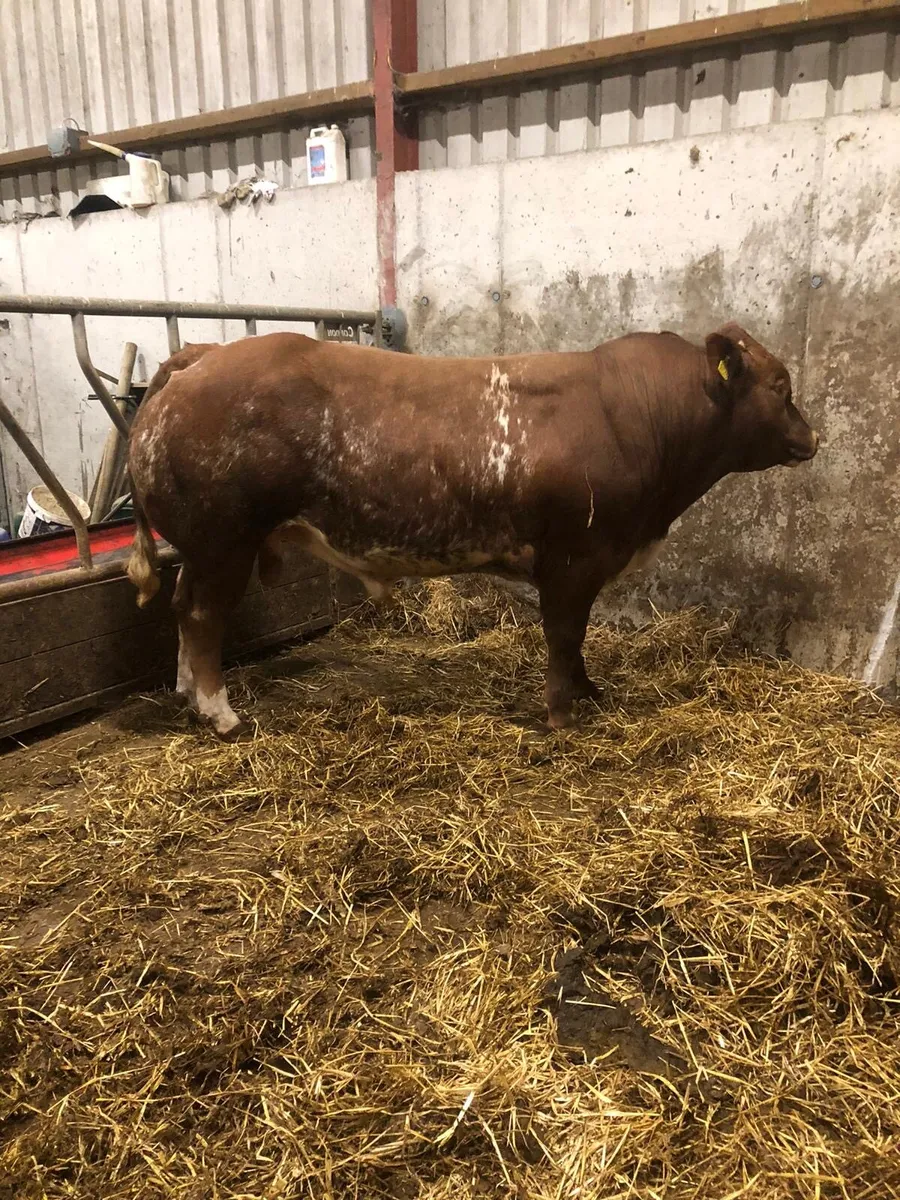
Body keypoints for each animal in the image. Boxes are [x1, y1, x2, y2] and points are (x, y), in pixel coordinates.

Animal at [127, 324, 818, 739]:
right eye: (781, 385)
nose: (812, 438)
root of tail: (203, 357)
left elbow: (578, 642)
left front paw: (591, 695)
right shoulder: (573, 559)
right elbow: (564, 637)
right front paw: (562, 716)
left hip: (202, 546)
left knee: (185, 609)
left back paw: (188, 692)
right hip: (224, 540)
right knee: (203, 615)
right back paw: (220, 712)